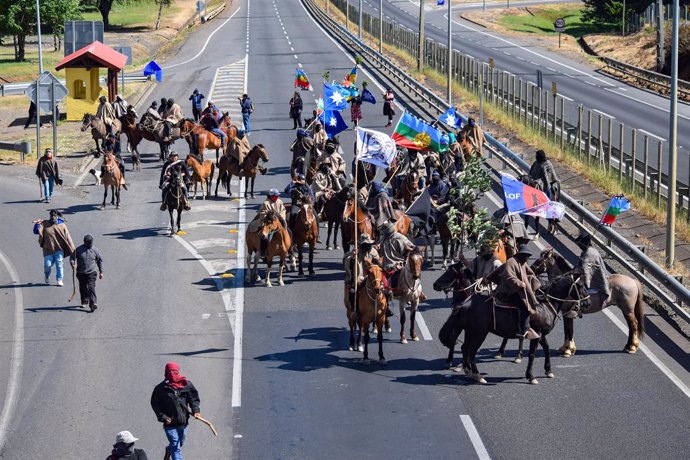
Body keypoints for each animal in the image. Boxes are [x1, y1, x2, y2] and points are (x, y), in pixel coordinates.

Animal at [438, 274, 588, 384]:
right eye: (580, 285)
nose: (588, 302)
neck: (544, 304)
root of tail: (464, 304)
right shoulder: (536, 334)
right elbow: (532, 354)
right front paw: (531, 376)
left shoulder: (541, 335)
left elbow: (546, 349)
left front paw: (548, 371)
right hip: (479, 333)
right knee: (472, 352)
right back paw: (477, 375)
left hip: (471, 332)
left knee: (465, 349)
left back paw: (468, 371)